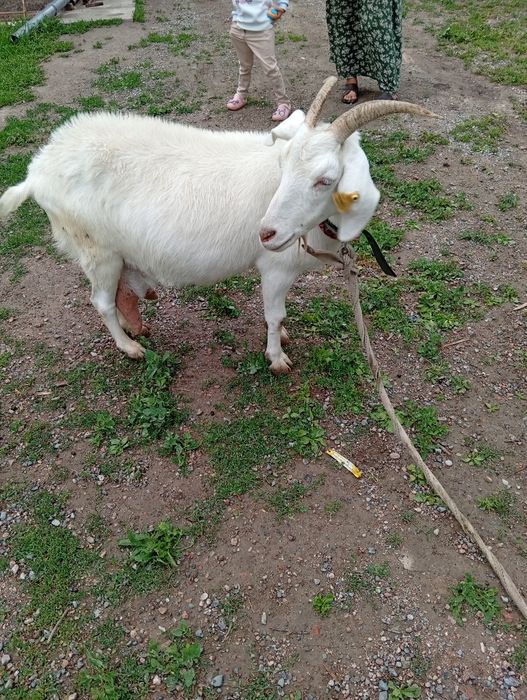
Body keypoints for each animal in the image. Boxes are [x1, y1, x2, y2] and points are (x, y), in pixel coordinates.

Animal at [0, 78, 434, 373]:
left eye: (325, 180)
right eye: (284, 163)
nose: (266, 232)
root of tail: (38, 170)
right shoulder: (275, 268)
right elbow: (274, 315)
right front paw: (277, 357)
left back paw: (134, 324)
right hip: (96, 249)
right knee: (101, 301)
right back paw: (130, 347)